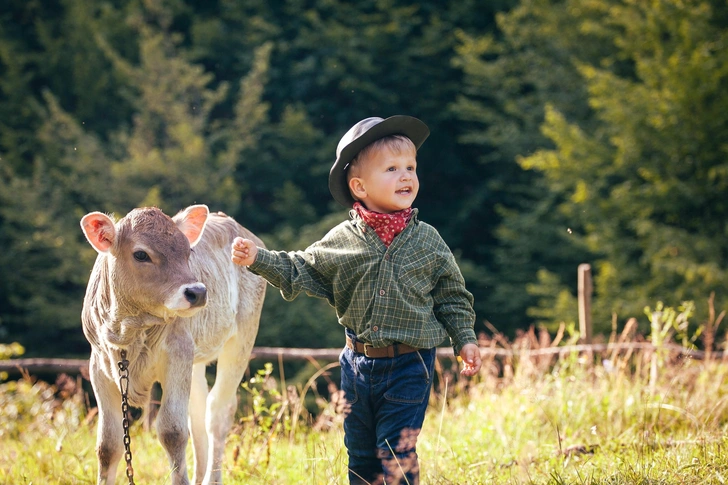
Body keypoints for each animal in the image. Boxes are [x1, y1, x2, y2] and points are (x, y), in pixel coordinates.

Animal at [81, 205, 266, 484]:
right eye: (141, 254)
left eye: (188, 251)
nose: (198, 292)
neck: (128, 331)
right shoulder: (99, 365)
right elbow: (108, 444)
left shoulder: (177, 353)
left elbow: (173, 431)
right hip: (195, 356)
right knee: (198, 413)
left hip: (241, 339)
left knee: (218, 412)